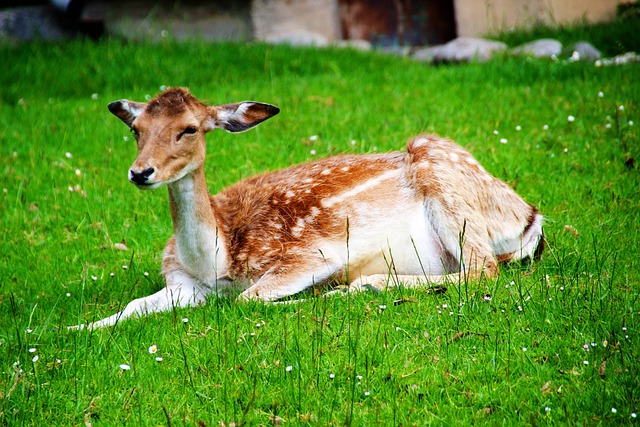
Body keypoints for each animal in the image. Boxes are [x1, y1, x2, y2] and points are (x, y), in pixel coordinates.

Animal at [71, 88, 544, 332]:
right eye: (136, 129)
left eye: (188, 129)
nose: (140, 172)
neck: (217, 259)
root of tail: (530, 218)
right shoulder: (184, 284)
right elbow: (133, 305)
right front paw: (74, 331)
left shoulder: (309, 254)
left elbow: (250, 298)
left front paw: (313, 297)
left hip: (449, 194)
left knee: (482, 269)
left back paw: (360, 286)